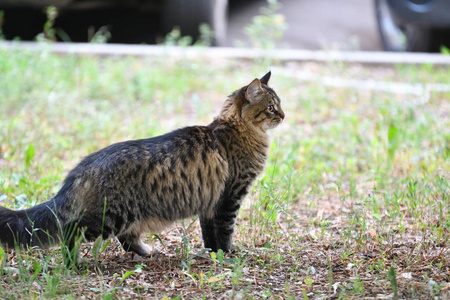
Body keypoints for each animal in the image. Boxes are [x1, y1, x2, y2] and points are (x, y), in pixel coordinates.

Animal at [0, 71, 284, 264]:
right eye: (271, 107)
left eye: (279, 105)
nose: (283, 116)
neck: (237, 129)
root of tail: (83, 166)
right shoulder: (230, 197)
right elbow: (225, 231)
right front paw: (228, 255)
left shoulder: (210, 202)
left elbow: (210, 235)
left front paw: (213, 254)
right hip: (109, 216)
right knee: (71, 230)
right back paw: (74, 262)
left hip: (126, 215)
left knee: (126, 239)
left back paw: (147, 252)